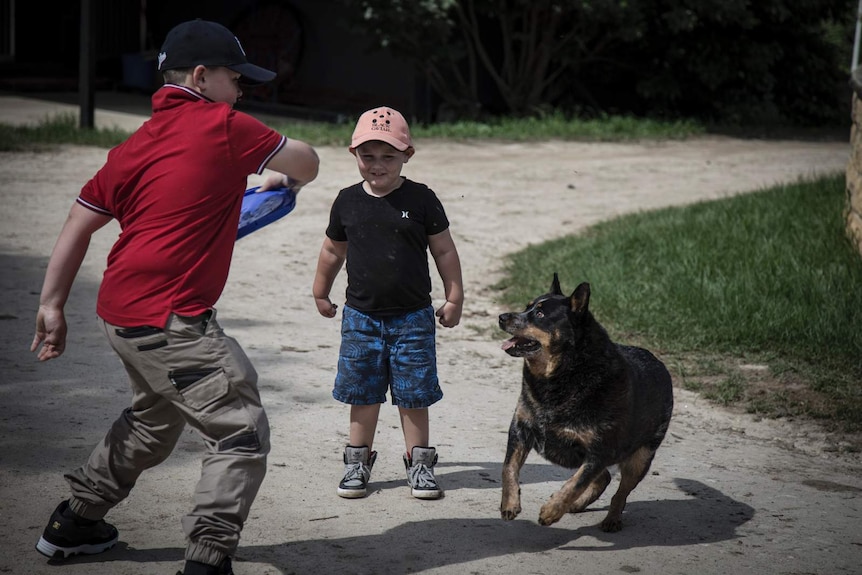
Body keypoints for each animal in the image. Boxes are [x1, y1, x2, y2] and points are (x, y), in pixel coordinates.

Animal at [500, 274, 676, 532]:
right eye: (527, 307)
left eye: (540, 314)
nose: (502, 317)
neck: (559, 377)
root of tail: (661, 364)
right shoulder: (520, 429)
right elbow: (509, 467)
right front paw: (510, 503)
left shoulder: (599, 451)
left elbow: (576, 483)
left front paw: (552, 510)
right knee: (604, 477)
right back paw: (579, 504)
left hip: (640, 457)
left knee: (620, 491)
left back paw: (612, 518)